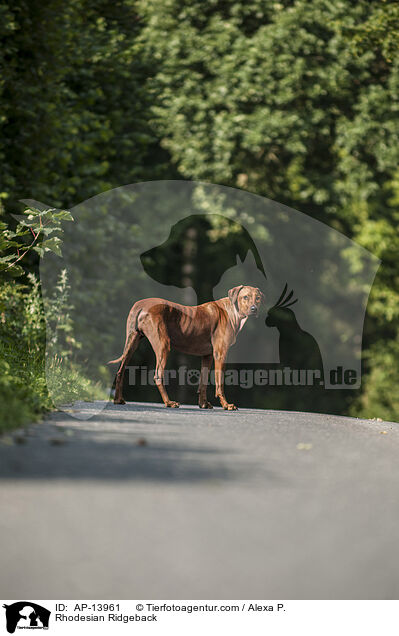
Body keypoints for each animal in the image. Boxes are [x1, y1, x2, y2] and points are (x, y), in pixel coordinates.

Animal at [109, 286, 266, 410]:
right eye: (245, 297)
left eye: (258, 298)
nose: (254, 309)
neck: (232, 312)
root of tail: (140, 304)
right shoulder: (220, 354)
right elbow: (219, 382)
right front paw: (226, 405)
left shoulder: (208, 356)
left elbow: (203, 382)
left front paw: (203, 404)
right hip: (163, 345)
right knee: (158, 375)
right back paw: (169, 402)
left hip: (131, 343)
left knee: (120, 371)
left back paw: (118, 399)